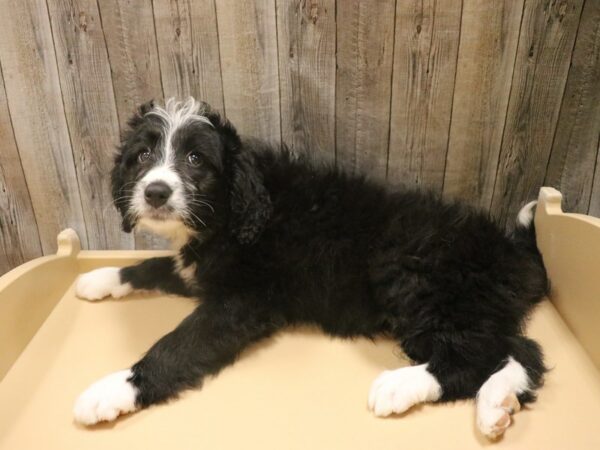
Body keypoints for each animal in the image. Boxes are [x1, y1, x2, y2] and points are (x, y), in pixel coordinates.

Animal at [72, 97, 548, 436]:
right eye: (142, 156)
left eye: (195, 160)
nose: (155, 192)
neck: (234, 211)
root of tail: (512, 251)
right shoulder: (203, 273)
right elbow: (155, 265)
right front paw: (98, 278)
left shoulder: (241, 302)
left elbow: (178, 343)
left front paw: (113, 389)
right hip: (469, 304)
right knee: (519, 350)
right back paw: (495, 406)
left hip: (416, 278)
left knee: (474, 356)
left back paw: (400, 387)